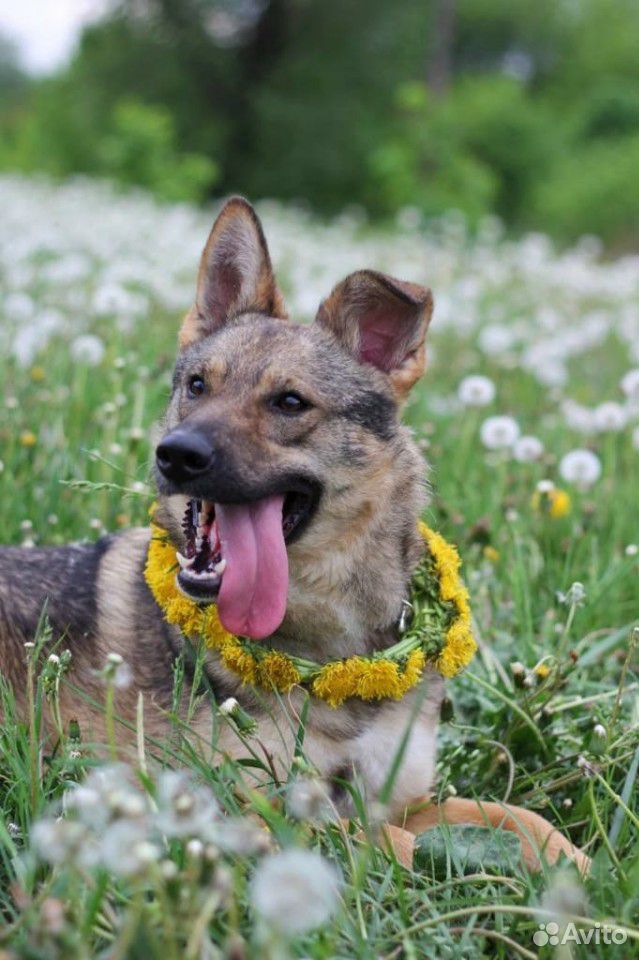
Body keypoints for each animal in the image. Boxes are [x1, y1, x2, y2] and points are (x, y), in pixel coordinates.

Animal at [1, 199, 592, 872]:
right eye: (197, 385)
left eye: (289, 402)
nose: (175, 454)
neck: (329, 647)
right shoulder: (237, 808)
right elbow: (394, 845)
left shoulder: (401, 796)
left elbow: (512, 817)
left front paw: (574, 867)